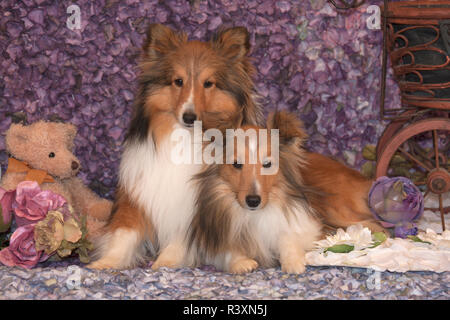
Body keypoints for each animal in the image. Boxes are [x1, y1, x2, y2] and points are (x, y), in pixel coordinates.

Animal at [87, 24, 264, 270]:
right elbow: (123, 235)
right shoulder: (137, 195)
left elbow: (180, 241)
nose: (189, 117)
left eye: (208, 83)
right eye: (178, 81)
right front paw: (105, 263)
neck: (184, 138)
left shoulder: (192, 209)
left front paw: (165, 263)